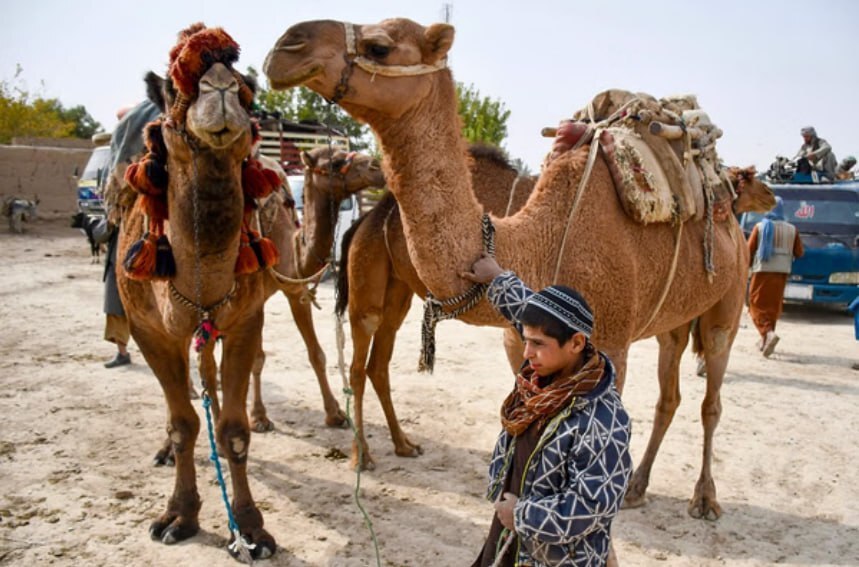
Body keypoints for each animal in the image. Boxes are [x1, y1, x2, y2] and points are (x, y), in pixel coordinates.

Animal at [334, 143, 532, 470]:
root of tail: (366, 219)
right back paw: (361, 456)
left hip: (397, 291)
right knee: (358, 364)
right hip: (366, 280)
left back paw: (404, 444)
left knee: (379, 362)